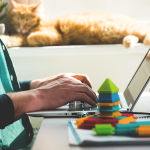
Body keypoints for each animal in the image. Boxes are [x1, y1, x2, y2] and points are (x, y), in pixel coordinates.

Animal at [0, 0, 150, 48]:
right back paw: (128, 42)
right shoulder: (21, 37)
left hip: (130, 28)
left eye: (27, 20)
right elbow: (14, 39)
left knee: (145, 33)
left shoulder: (56, 36)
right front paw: (5, 40)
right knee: (136, 37)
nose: (21, 28)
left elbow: (31, 39)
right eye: (17, 20)